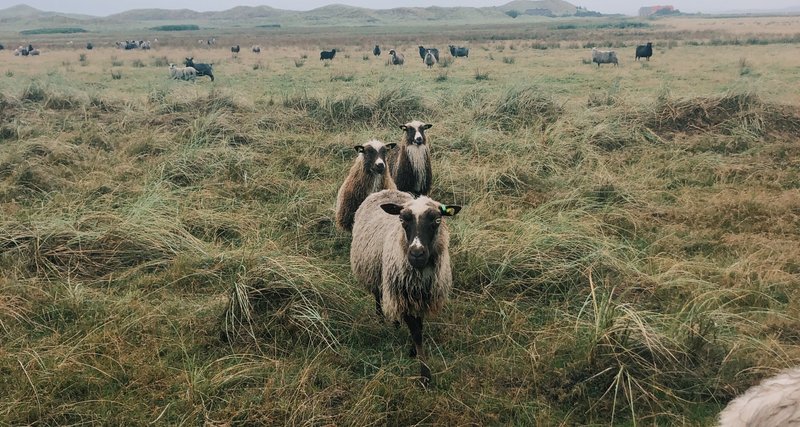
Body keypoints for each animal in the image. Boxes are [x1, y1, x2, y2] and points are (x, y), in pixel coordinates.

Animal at [352, 191, 462, 384]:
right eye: (402, 220)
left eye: (437, 220)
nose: (417, 253)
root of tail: (385, 191)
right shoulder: (402, 293)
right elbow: (416, 331)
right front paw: (425, 374)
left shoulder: (423, 297)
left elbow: (419, 326)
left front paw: (413, 351)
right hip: (377, 274)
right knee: (378, 296)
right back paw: (381, 318)